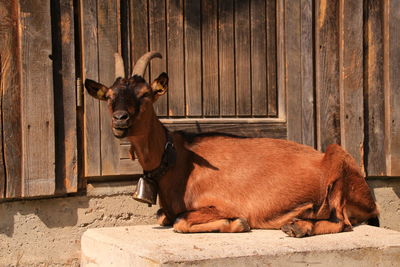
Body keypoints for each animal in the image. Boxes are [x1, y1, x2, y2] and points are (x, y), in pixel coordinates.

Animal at [84, 52, 378, 239]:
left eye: (146, 94)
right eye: (109, 96)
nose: (120, 119)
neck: (177, 159)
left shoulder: (219, 202)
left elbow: (180, 221)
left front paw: (237, 223)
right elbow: (163, 216)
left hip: (338, 160)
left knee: (344, 223)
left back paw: (299, 228)